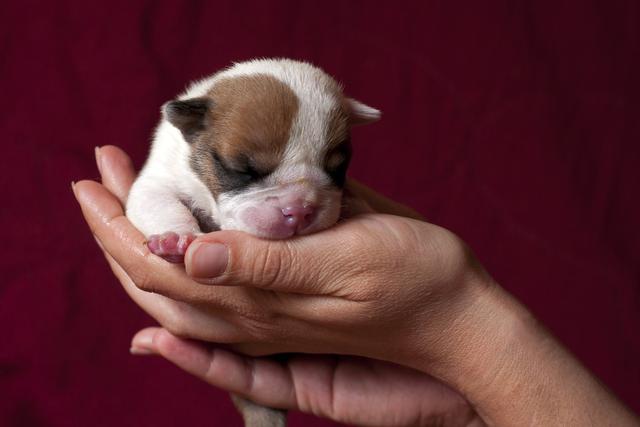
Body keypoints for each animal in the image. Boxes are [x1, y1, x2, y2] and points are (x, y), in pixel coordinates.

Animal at [127, 57, 382, 427]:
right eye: (244, 170)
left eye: (337, 169)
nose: (299, 210)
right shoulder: (159, 178)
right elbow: (158, 200)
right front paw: (175, 237)